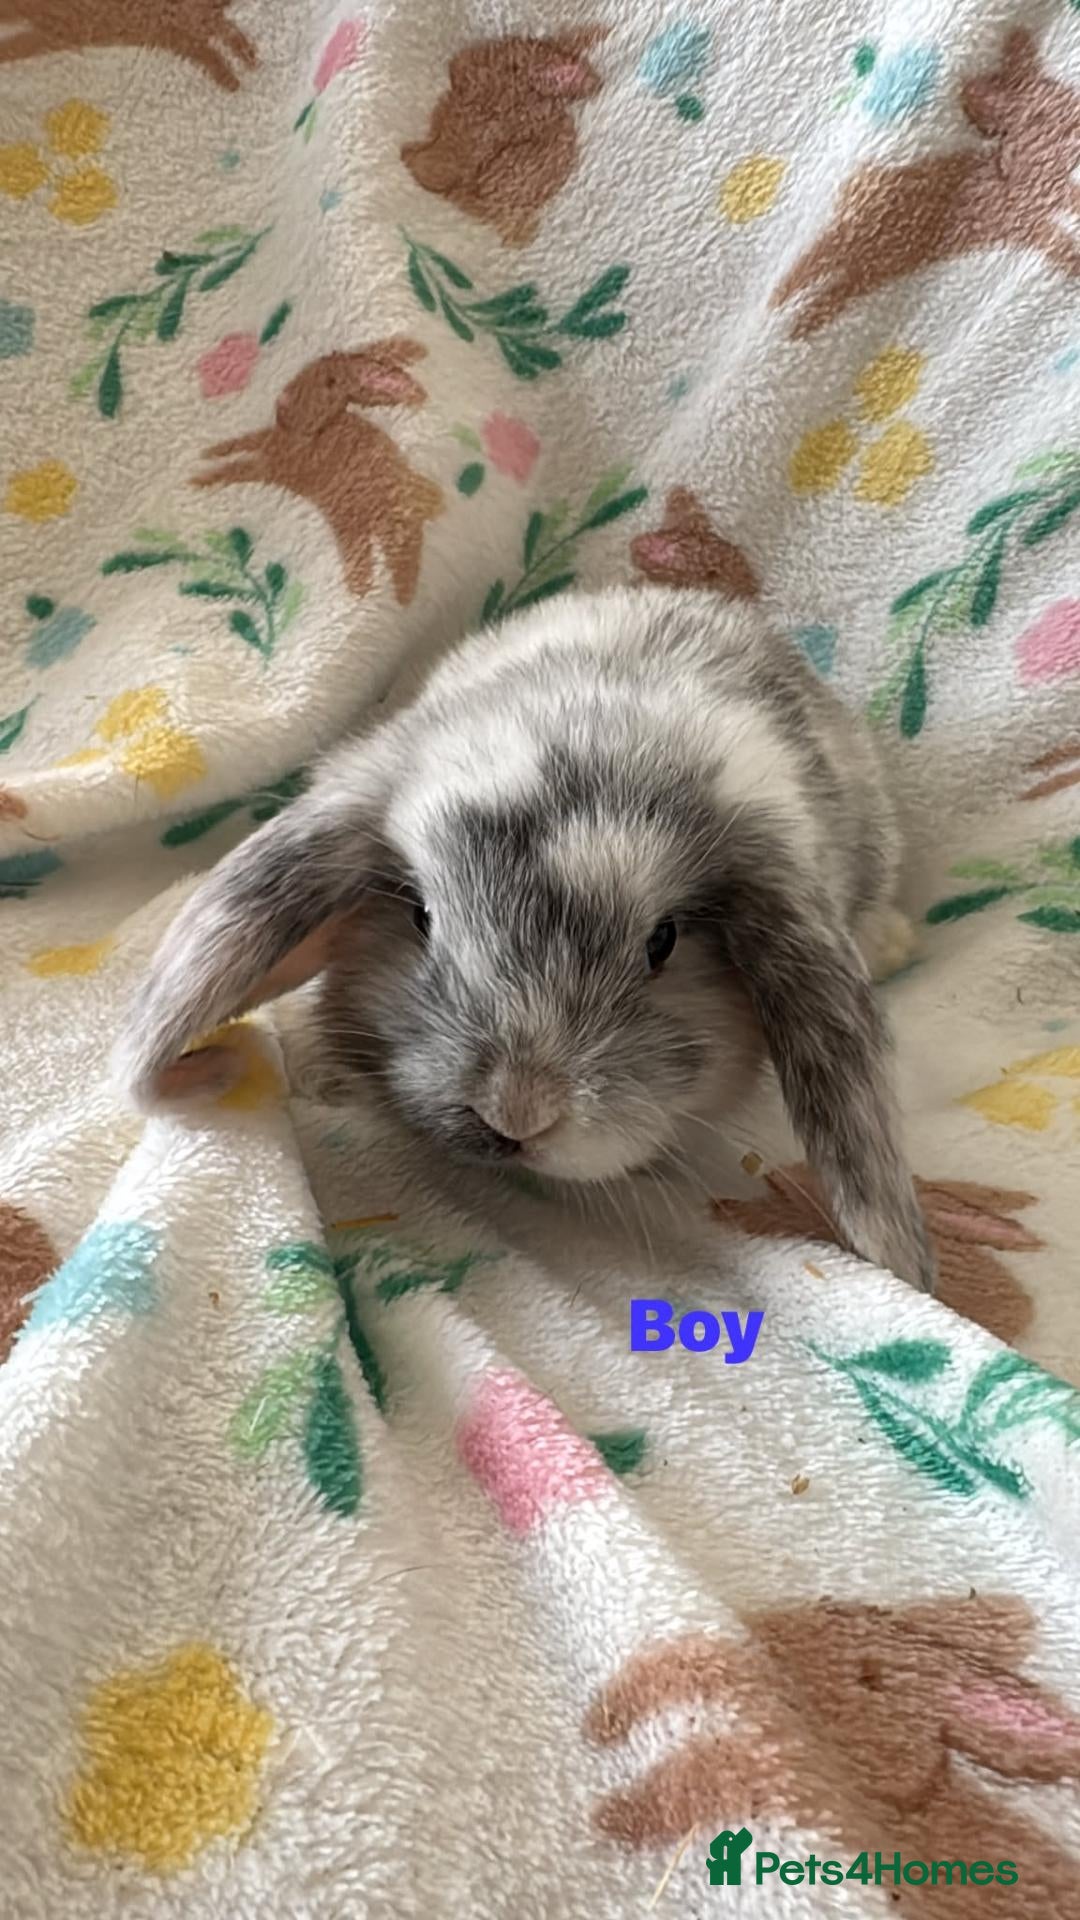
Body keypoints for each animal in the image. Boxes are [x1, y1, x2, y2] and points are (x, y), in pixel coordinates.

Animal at [772, 28, 1080, 339]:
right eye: (1041, 112)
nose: (970, 92)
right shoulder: (1024, 210)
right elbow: (1056, 224)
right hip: (861, 242)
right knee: (814, 266)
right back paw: (782, 308)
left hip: (879, 264)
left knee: (837, 286)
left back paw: (800, 323)